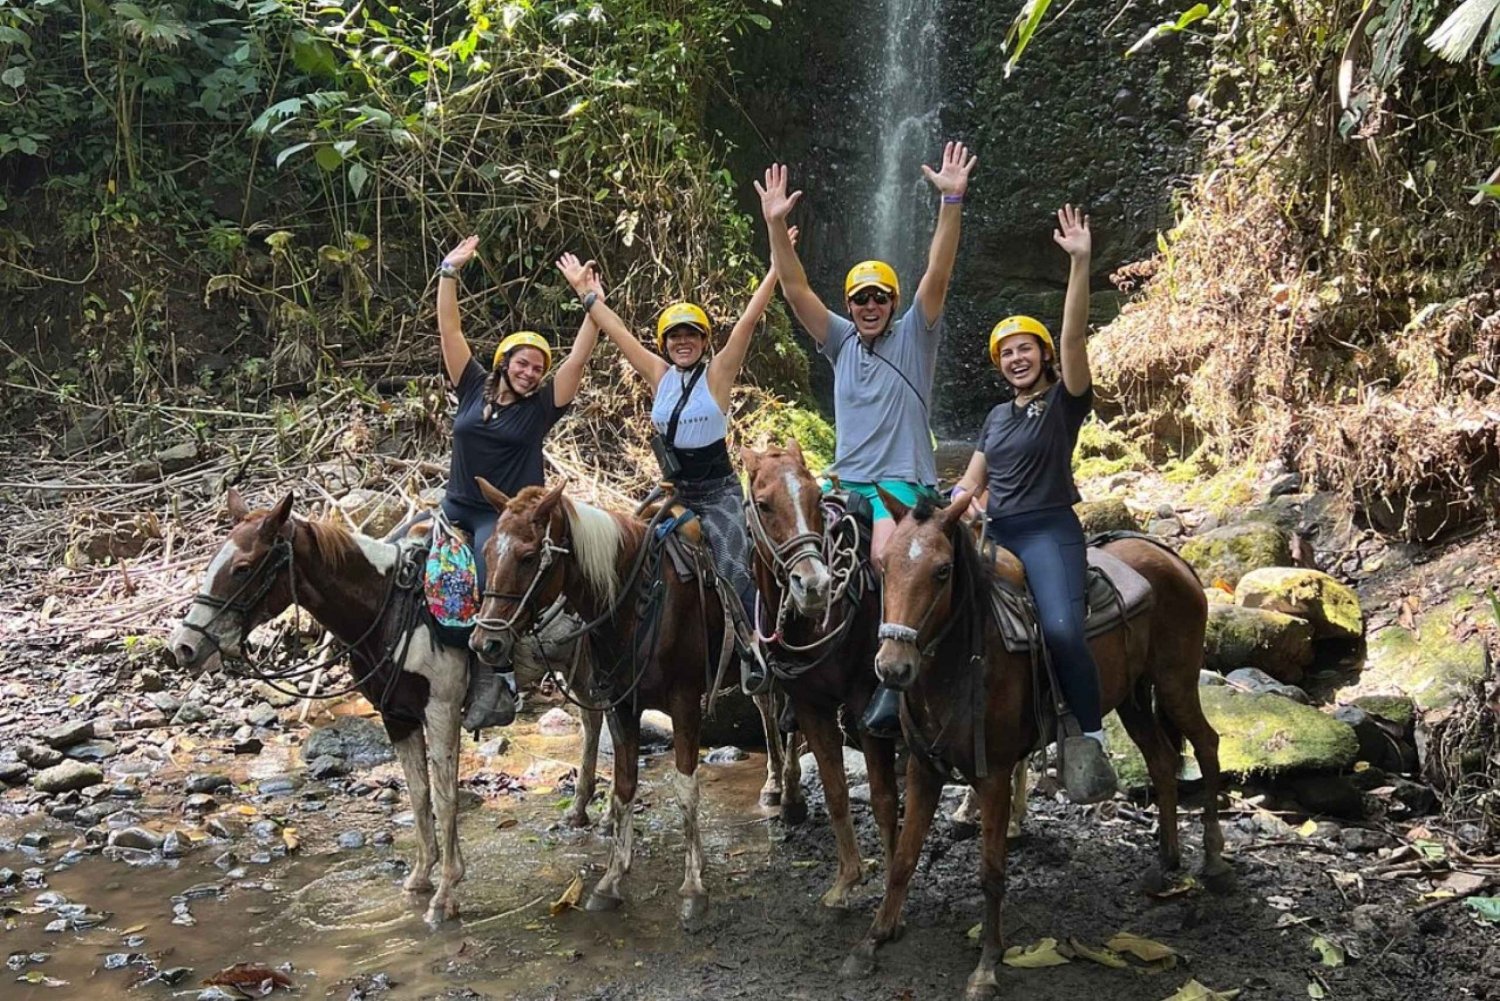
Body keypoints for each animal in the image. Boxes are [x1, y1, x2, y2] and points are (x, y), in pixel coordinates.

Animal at [471, 480, 723, 930]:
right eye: (486, 553)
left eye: (529, 557)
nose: (486, 643)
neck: (637, 603)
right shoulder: (622, 704)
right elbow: (624, 787)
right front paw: (611, 879)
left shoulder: (685, 703)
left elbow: (686, 789)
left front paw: (693, 887)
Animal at [741, 441, 900, 906]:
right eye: (763, 504)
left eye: (814, 497)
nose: (813, 585)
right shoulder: (811, 705)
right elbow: (835, 791)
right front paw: (846, 879)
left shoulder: (864, 699)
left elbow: (883, 796)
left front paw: (891, 880)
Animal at [846, 492, 1230, 1001]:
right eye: (884, 565)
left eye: (943, 571)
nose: (893, 668)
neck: (963, 663)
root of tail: (1171, 557)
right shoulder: (924, 769)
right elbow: (904, 859)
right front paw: (874, 938)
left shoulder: (993, 775)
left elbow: (991, 872)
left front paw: (987, 965)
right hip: (1131, 697)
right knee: (1162, 761)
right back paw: (1165, 860)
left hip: (1175, 681)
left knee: (1206, 744)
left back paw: (1212, 857)